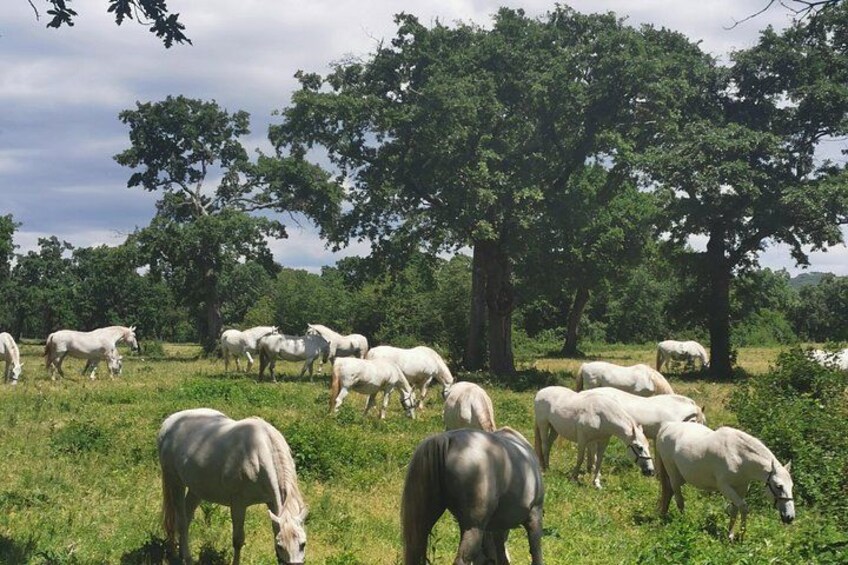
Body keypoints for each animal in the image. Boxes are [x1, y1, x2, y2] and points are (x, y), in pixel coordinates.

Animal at [157, 408, 308, 564]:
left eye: (303, 544)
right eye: (280, 546)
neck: (261, 452)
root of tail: (169, 423)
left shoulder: (271, 501)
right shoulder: (238, 504)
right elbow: (238, 540)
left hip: (196, 490)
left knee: (186, 517)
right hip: (175, 482)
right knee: (181, 520)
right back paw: (183, 557)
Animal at [656, 421, 795, 541]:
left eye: (791, 486)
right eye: (778, 486)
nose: (790, 517)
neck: (739, 456)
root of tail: (666, 427)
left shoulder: (741, 488)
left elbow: (735, 510)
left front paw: (730, 535)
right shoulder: (725, 487)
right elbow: (744, 507)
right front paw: (741, 535)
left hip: (681, 478)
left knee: (668, 492)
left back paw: (663, 514)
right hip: (674, 475)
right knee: (679, 499)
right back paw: (683, 521)